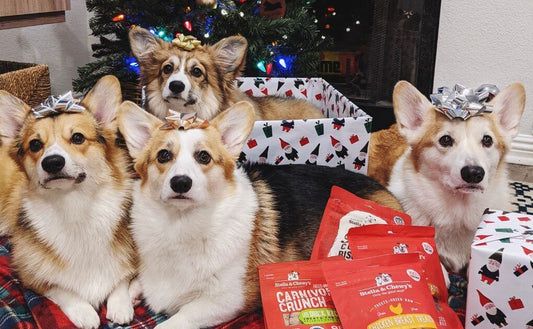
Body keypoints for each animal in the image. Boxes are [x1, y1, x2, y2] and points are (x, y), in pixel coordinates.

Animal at [0, 75, 137, 326]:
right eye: (35, 144)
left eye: (77, 138)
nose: (52, 162)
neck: (74, 205)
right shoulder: (30, 276)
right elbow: (61, 289)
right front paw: (84, 312)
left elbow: (121, 279)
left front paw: (120, 305)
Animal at [116, 100, 400, 328]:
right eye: (163, 155)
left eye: (204, 157)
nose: (181, 183)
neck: (181, 224)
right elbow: (134, 280)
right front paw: (124, 303)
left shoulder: (228, 300)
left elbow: (174, 320)